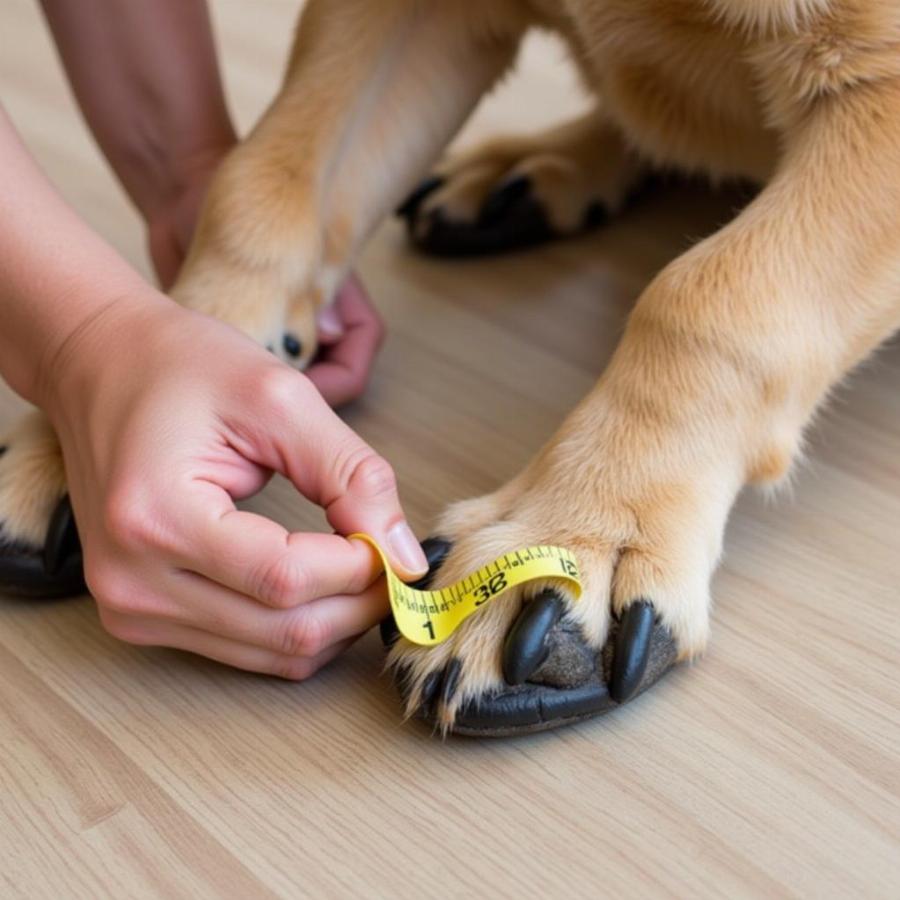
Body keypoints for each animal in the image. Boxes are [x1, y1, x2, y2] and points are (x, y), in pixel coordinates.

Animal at [1, 0, 900, 732]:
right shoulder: (399, 15)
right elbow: (263, 186)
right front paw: (126, 396)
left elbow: (711, 293)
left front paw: (585, 528)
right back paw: (532, 171)